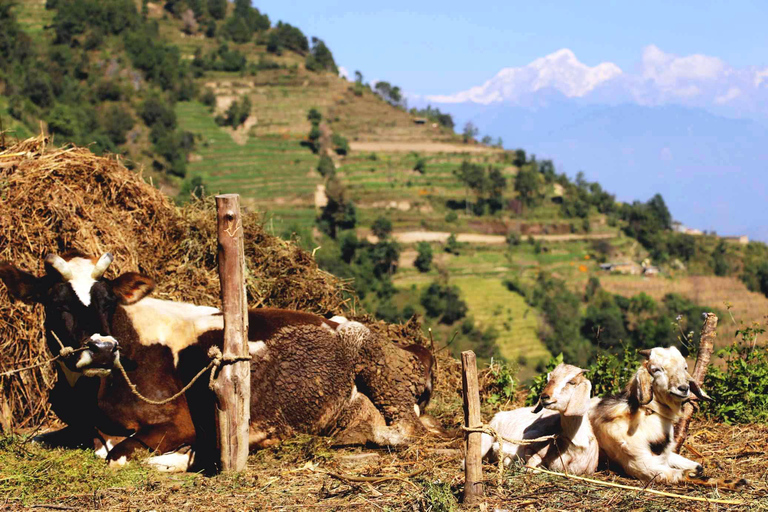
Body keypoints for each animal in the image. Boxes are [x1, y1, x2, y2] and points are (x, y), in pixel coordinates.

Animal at [0, 252, 436, 472]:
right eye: (57, 304)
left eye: (109, 303)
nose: (105, 349)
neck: (93, 396)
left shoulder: (180, 423)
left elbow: (115, 457)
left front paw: (185, 458)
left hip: (372, 359)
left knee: (405, 432)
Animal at [588, 348, 744, 488]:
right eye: (656, 369)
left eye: (685, 367)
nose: (683, 388)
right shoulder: (640, 465)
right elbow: (685, 474)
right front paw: (737, 482)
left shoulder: (666, 455)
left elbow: (698, 467)